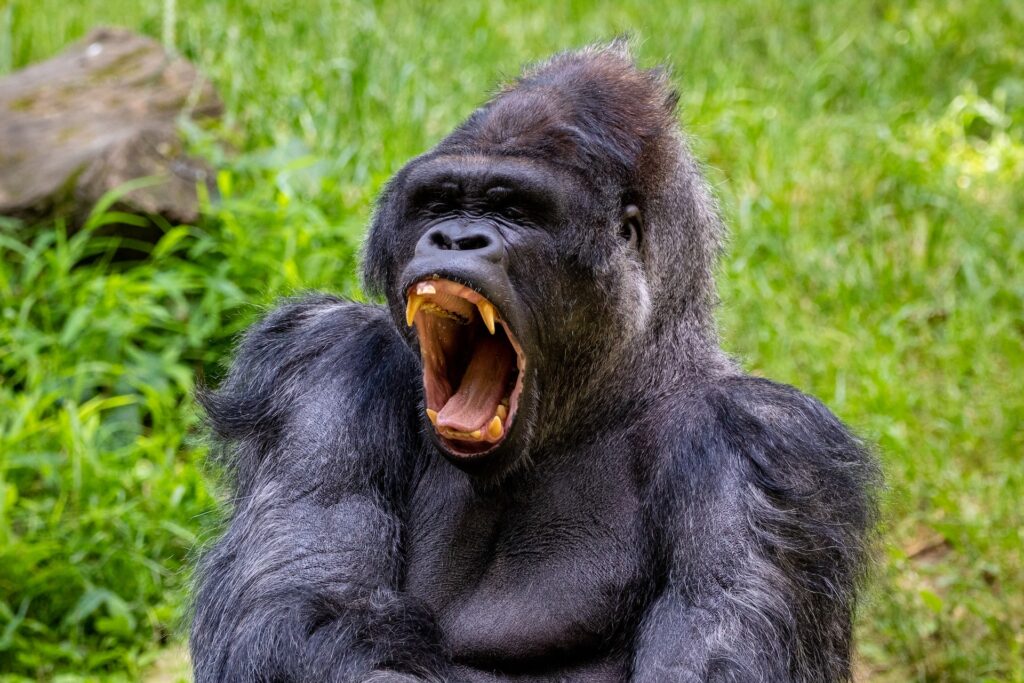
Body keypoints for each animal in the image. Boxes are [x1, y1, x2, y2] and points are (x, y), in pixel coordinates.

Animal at [188, 45, 876, 679]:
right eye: (439, 204)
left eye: (512, 209)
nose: (456, 238)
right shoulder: (327, 362)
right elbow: (306, 604)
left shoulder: (761, 445)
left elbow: (712, 658)